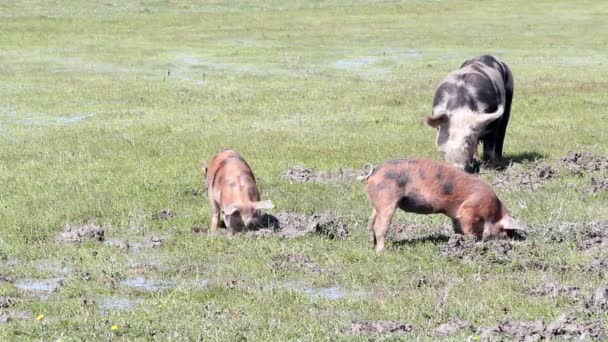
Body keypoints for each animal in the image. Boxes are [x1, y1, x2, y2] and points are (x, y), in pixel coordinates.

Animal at [360, 158, 524, 251]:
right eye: (506, 231)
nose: (511, 239)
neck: (494, 212)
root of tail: (374, 172)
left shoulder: (455, 217)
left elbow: (457, 228)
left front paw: (458, 240)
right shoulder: (468, 210)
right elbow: (470, 229)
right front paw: (473, 243)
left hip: (377, 203)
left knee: (371, 223)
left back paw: (372, 245)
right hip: (387, 199)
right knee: (380, 226)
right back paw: (382, 251)